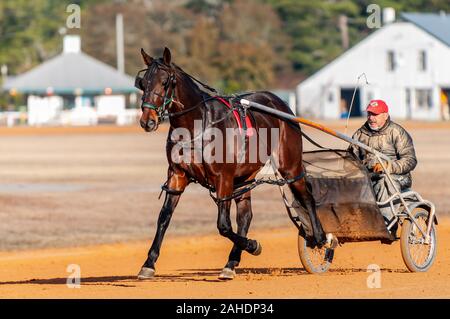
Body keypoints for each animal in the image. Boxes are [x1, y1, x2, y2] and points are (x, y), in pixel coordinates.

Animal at [135, 47, 326, 280]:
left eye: (164, 82)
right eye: (143, 82)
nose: (147, 121)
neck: (198, 125)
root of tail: (280, 103)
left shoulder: (223, 178)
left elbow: (224, 226)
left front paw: (253, 245)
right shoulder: (177, 176)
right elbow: (164, 218)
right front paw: (149, 263)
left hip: (289, 166)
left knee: (306, 196)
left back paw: (319, 238)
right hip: (244, 177)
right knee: (245, 216)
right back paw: (232, 262)